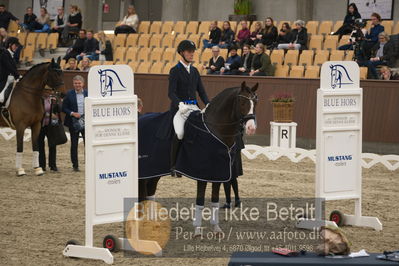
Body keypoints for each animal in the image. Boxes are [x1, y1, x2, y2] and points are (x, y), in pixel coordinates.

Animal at [141, 81, 260, 235]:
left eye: (255, 102)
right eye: (242, 102)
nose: (251, 128)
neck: (214, 130)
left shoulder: (218, 173)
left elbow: (215, 201)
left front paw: (216, 229)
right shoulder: (201, 173)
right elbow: (200, 201)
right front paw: (197, 230)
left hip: (155, 170)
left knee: (150, 190)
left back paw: (152, 222)